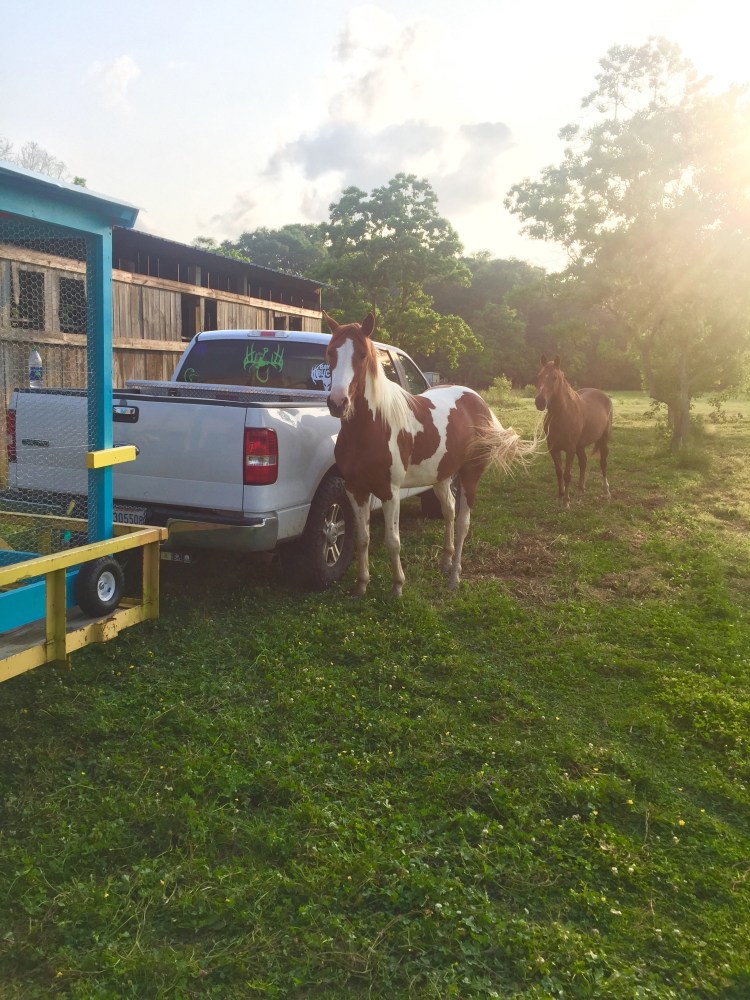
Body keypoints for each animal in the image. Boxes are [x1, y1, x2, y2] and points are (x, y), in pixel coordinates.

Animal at [323, 311, 537, 597]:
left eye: (362, 355)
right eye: (331, 352)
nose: (338, 403)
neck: (372, 427)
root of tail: (479, 403)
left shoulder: (389, 491)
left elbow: (393, 541)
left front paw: (397, 586)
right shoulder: (355, 489)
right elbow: (362, 539)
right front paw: (361, 585)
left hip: (470, 475)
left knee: (463, 523)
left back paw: (455, 576)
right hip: (442, 477)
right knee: (449, 512)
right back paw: (445, 562)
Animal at [534, 355, 613, 507]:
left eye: (554, 377)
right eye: (539, 376)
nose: (540, 402)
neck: (562, 415)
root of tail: (604, 396)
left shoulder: (570, 449)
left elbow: (567, 474)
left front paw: (566, 502)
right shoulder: (553, 448)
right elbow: (559, 472)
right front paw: (560, 497)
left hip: (603, 439)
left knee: (603, 463)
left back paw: (606, 492)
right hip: (580, 445)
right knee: (583, 462)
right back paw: (581, 492)